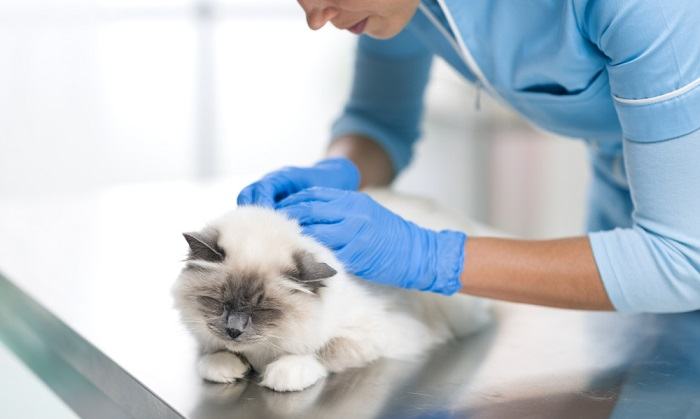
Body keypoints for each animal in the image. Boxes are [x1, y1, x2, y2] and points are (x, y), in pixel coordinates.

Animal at [173, 190, 492, 394]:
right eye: (219, 302)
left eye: (263, 309)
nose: (233, 330)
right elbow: (213, 351)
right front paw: (225, 366)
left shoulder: (374, 334)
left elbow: (324, 350)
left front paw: (284, 372)